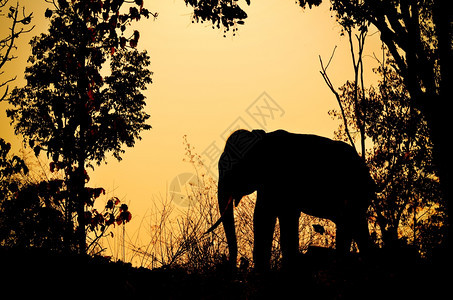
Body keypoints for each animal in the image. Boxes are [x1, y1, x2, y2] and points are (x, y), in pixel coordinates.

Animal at [206, 129, 374, 272]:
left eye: (232, 170)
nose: (232, 266)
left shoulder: (281, 178)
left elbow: (271, 215)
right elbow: (264, 215)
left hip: (354, 191)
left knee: (350, 224)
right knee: (354, 225)